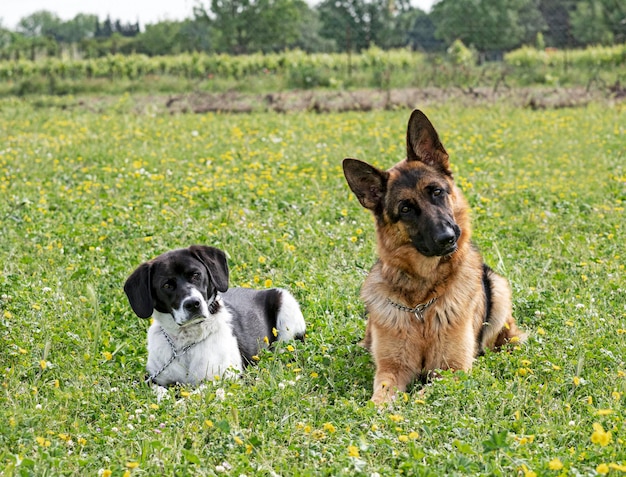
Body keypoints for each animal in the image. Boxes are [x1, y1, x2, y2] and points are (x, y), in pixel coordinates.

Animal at [122, 245, 304, 386]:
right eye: (166, 285)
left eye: (196, 274)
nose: (193, 303)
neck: (185, 344)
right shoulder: (154, 379)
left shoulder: (225, 379)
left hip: (285, 304)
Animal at [342, 109, 520, 404]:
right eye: (405, 209)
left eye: (437, 192)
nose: (447, 237)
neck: (421, 304)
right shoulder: (391, 369)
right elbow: (380, 398)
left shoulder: (452, 371)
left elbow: (421, 398)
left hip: (499, 289)